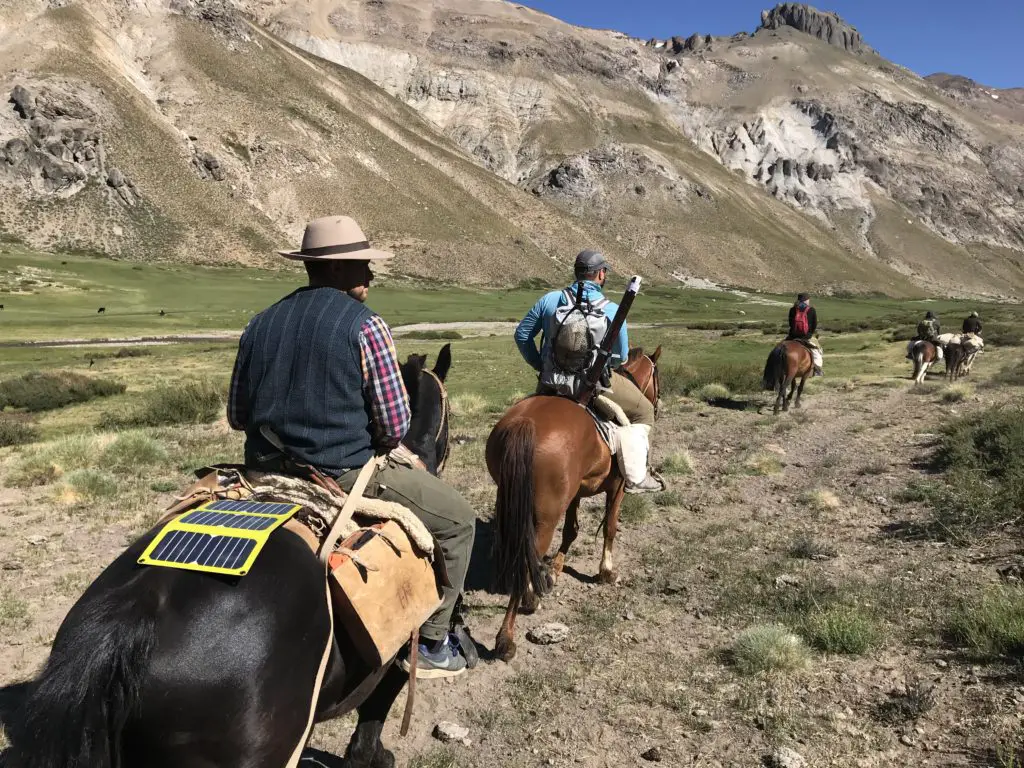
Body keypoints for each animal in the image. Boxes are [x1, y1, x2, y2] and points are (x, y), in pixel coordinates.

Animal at [487, 348, 663, 663]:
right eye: (658, 378)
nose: (659, 405)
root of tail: (525, 424)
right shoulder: (617, 487)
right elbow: (610, 527)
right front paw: (606, 571)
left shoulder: (575, 494)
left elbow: (572, 530)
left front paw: (557, 568)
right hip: (544, 519)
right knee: (527, 559)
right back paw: (508, 634)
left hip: (510, 499)